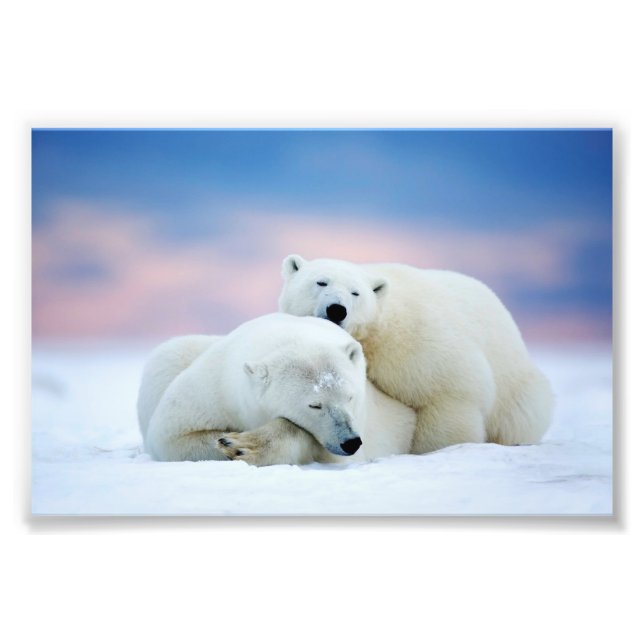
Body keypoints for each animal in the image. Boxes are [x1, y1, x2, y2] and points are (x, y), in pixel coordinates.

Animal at [137, 312, 416, 465]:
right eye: (315, 405)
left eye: (350, 396)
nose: (350, 442)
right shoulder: (215, 387)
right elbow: (173, 436)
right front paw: (230, 442)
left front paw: (243, 445)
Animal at [278, 255, 554, 453]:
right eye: (321, 282)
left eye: (356, 292)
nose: (337, 309)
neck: (378, 331)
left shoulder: (417, 344)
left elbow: (448, 394)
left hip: (515, 386)